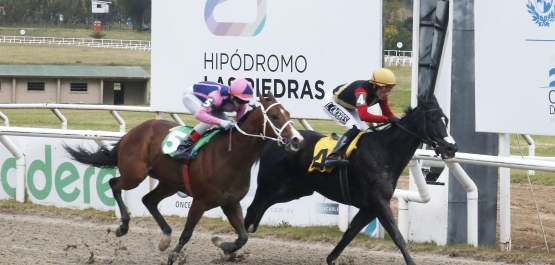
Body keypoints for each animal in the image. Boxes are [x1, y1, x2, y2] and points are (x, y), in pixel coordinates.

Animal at [64, 92, 304, 262]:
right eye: (274, 116)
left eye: (288, 114)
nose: (297, 140)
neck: (229, 156)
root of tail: (132, 132)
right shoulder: (200, 201)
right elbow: (188, 233)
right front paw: (173, 256)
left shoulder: (230, 202)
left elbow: (243, 237)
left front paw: (223, 245)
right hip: (135, 174)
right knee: (115, 184)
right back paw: (123, 226)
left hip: (169, 182)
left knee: (148, 200)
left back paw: (165, 237)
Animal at [245, 94, 458, 262]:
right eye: (433, 119)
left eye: (446, 119)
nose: (451, 147)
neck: (385, 151)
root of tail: (276, 141)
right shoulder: (379, 202)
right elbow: (397, 237)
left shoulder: (369, 207)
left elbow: (349, 234)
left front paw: (331, 259)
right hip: (268, 184)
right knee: (252, 208)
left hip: (295, 190)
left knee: (263, 206)